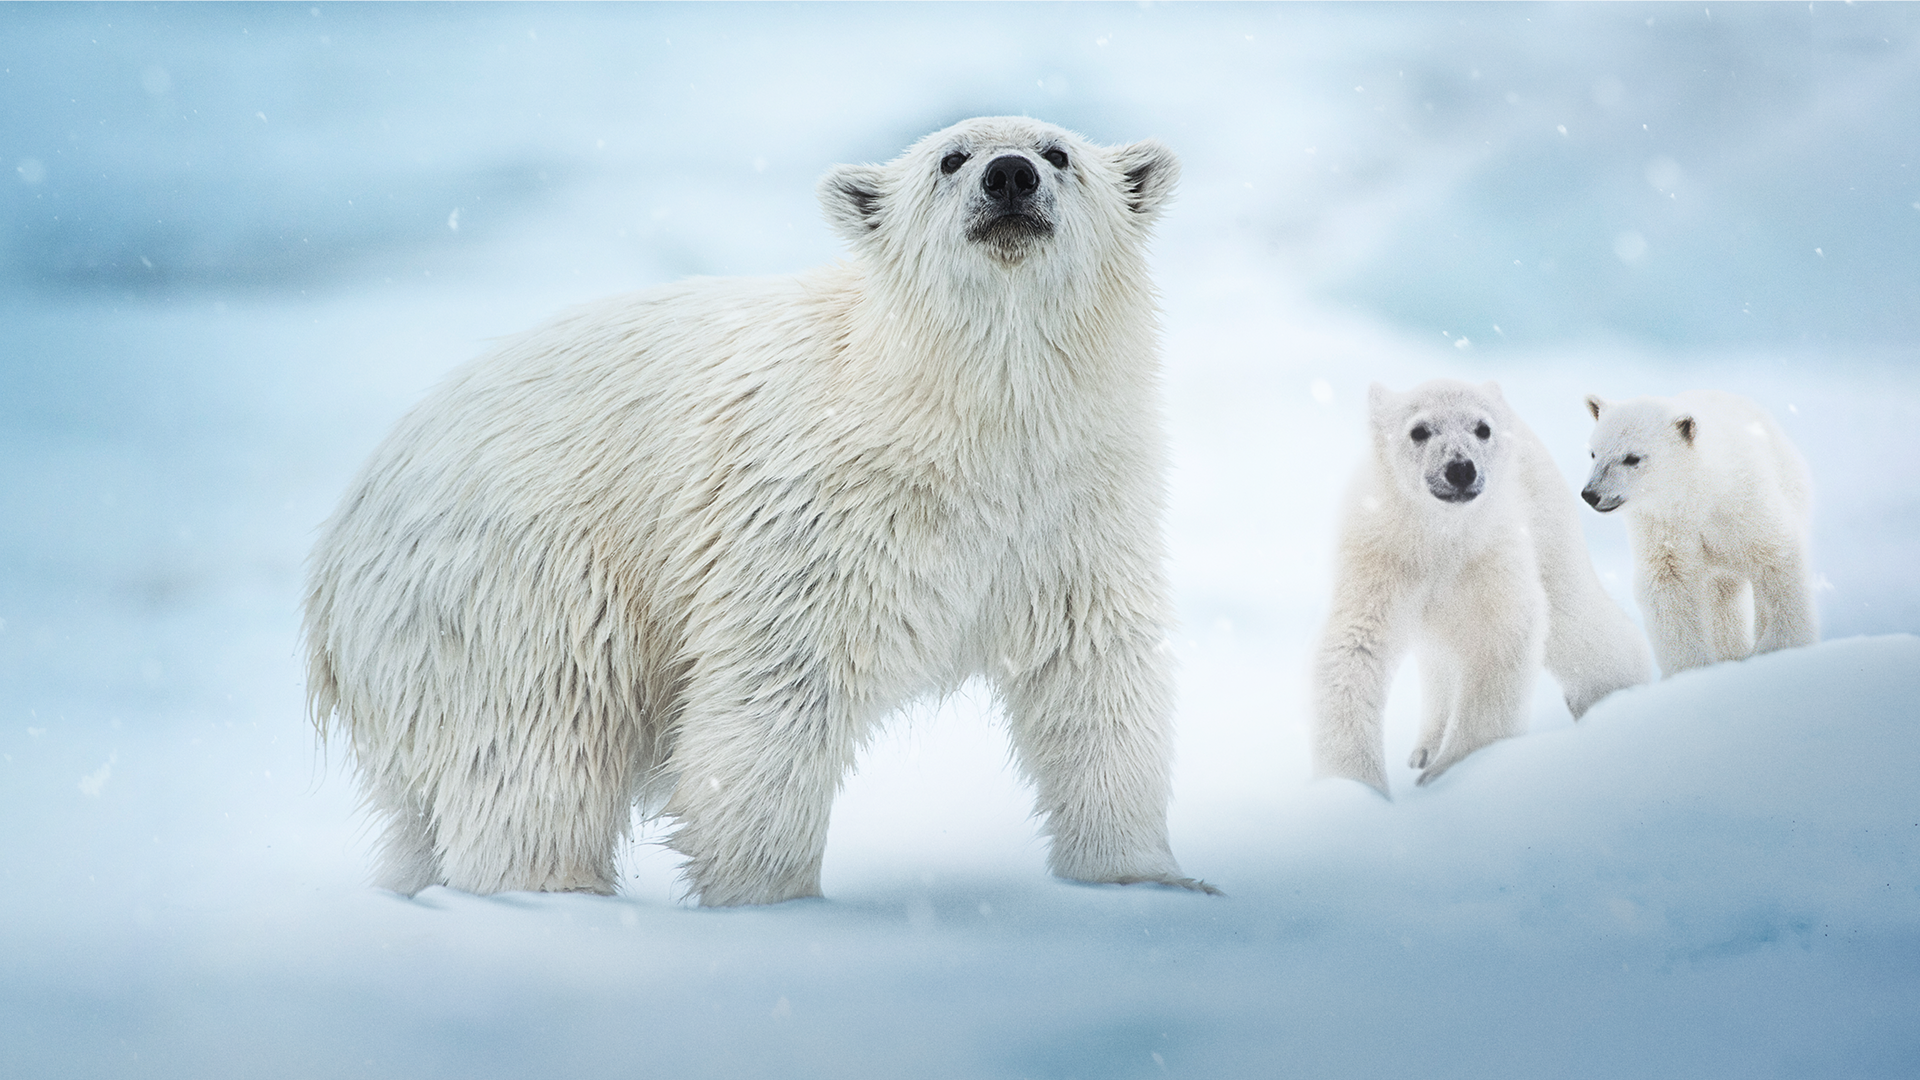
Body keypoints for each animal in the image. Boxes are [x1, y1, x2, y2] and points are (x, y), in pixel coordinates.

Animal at [302, 116, 1216, 906]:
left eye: (1059, 152)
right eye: (951, 158)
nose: (1011, 176)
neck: (960, 421)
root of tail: (332, 567)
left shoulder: (1071, 511)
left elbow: (1095, 675)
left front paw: (1147, 877)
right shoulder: (814, 513)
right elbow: (779, 690)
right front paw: (773, 899)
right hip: (514, 586)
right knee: (541, 747)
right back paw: (551, 889)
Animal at [1313, 379, 1653, 793]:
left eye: (1482, 428)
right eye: (1419, 430)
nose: (1460, 469)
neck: (1439, 536)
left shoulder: (1492, 552)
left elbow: (1502, 636)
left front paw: (1451, 771)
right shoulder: (1380, 557)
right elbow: (1355, 647)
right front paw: (1355, 787)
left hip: (1547, 524)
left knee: (1574, 619)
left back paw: (1618, 698)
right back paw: (1424, 747)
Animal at [1580, 390, 1817, 677]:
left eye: (1632, 457)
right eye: (1594, 453)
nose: (1591, 494)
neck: (1699, 494)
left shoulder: (1746, 506)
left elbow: (1776, 559)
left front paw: (1778, 649)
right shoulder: (1662, 529)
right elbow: (1669, 585)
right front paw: (1692, 670)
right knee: (1722, 596)